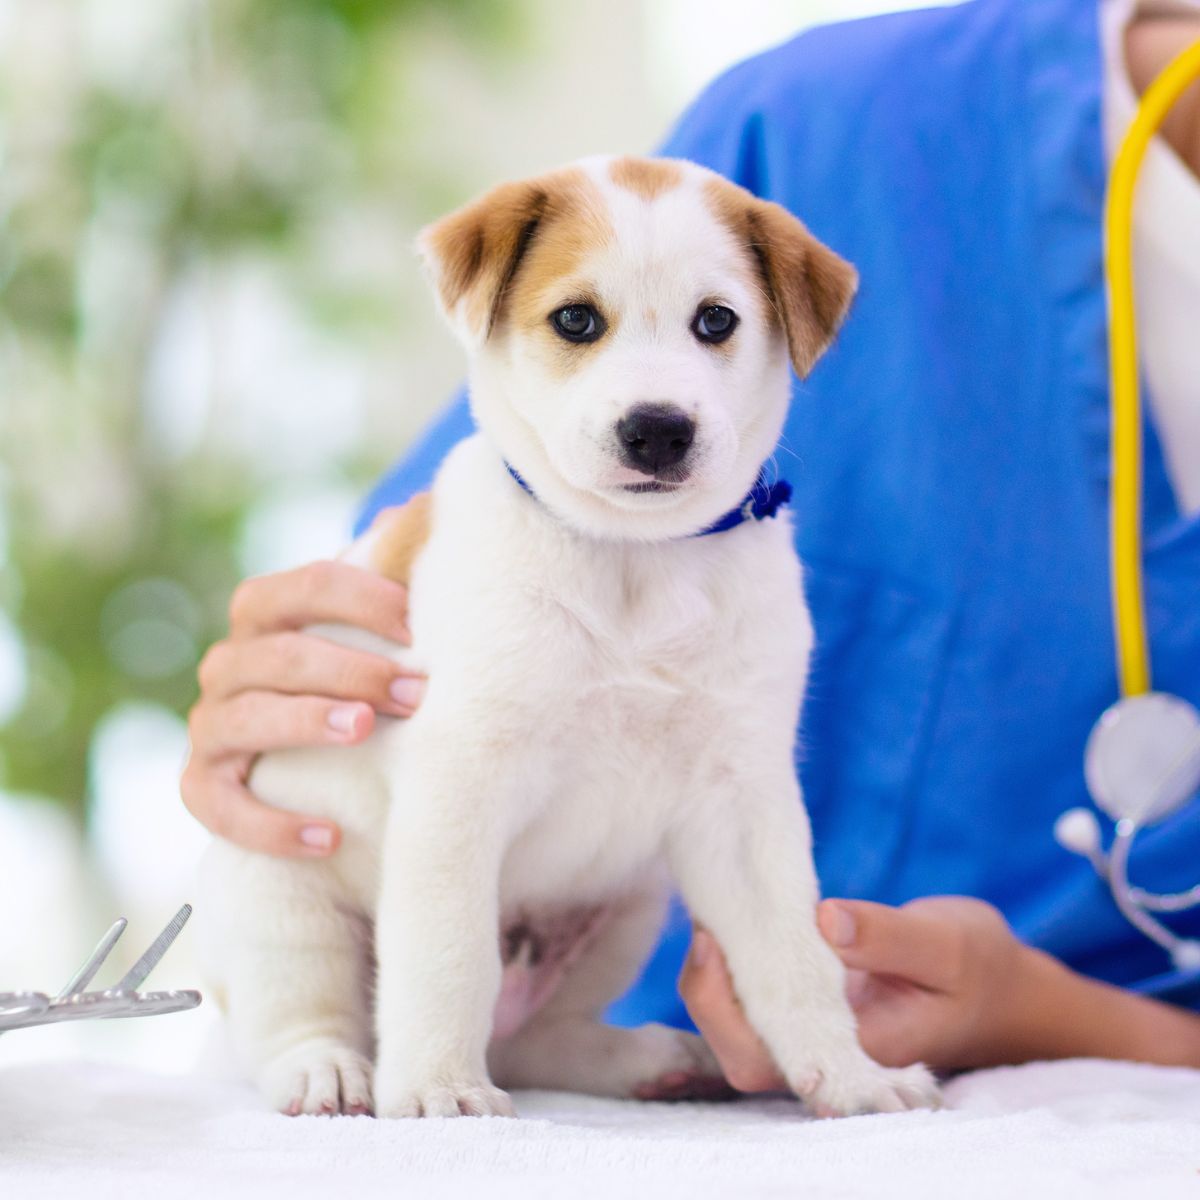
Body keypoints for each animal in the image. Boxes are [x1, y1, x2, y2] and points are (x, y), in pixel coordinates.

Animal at [196, 154, 940, 1118]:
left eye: (717, 320)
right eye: (576, 319)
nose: (658, 429)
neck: (633, 563)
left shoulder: (745, 800)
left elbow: (795, 960)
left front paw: (852, 1079)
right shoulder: (458, 788)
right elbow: (448, 957)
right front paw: (437, 1090)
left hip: (626, 906)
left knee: (533, 1041)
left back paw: (650, 1061)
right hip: (283, 892)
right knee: (300, 1018)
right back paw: (328, 1071)